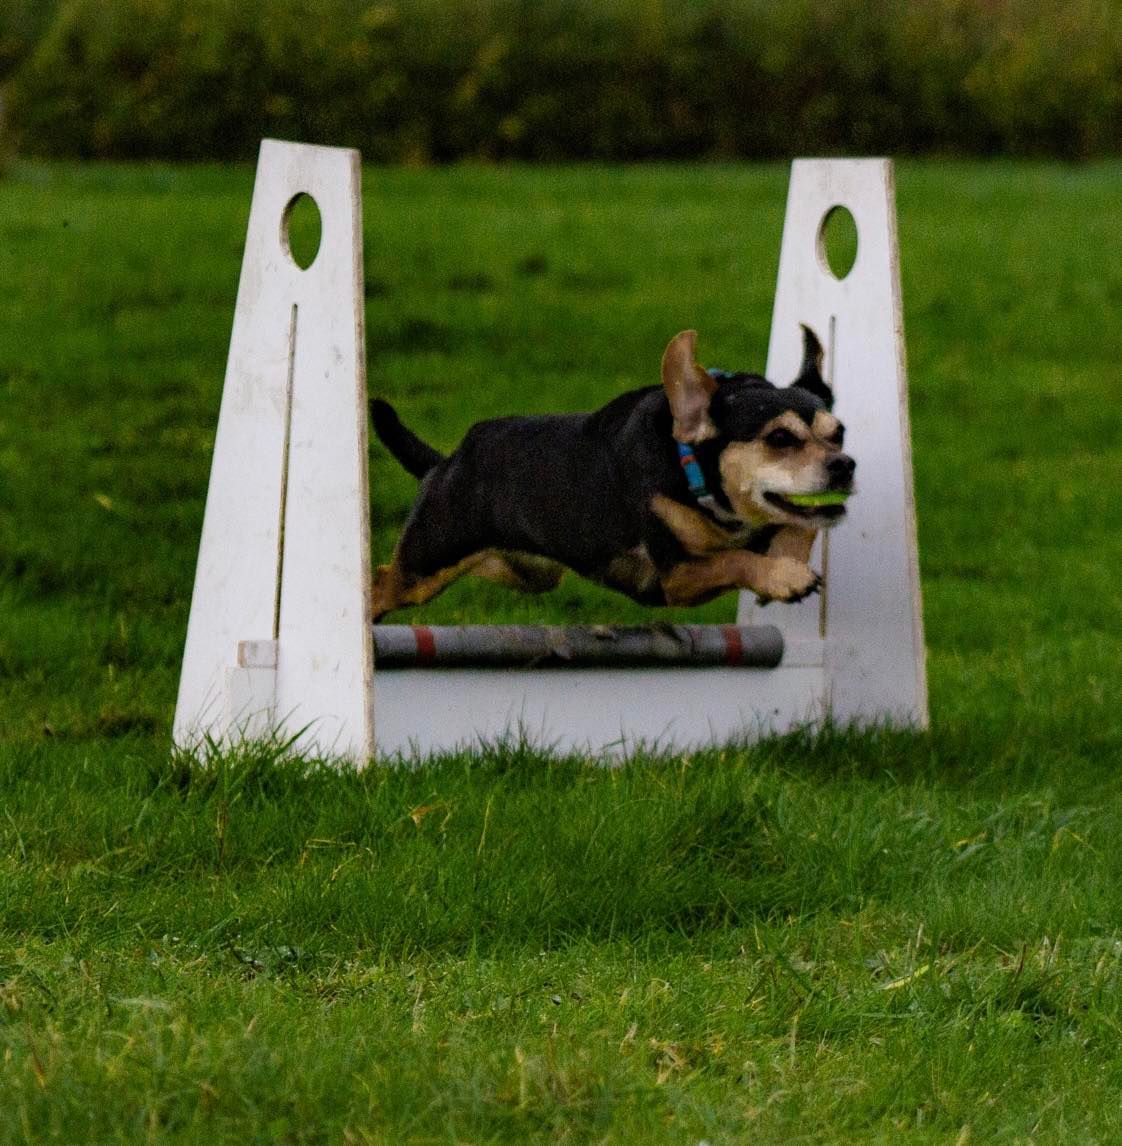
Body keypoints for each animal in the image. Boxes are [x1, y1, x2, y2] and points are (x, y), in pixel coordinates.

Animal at [373, 327, 857, 623]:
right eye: (780, 438)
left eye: (839, 434)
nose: (844, 465)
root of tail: (444, 463)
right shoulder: (676, 577)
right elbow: (735, 558)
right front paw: (784, 576)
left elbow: (796, 530)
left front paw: (785, 566)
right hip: (427, 563)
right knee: (381, 584)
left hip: (526, 573)